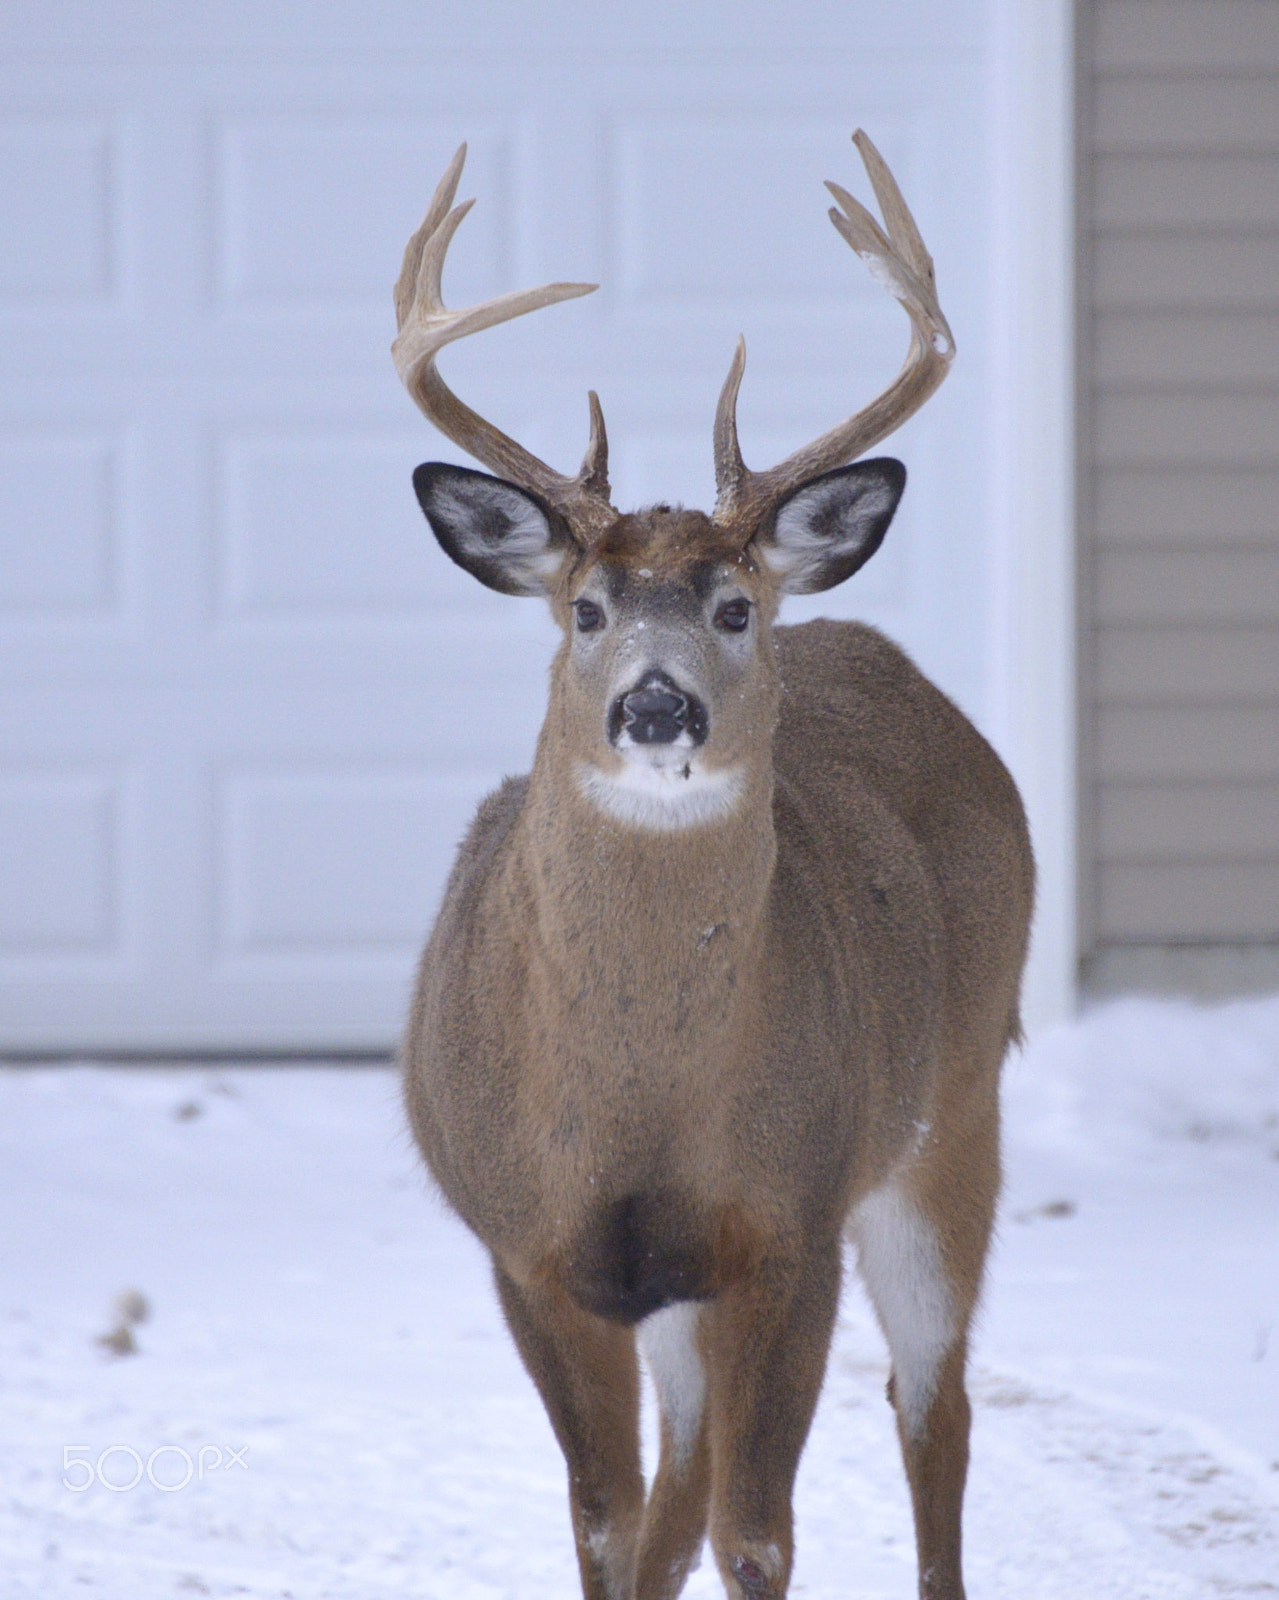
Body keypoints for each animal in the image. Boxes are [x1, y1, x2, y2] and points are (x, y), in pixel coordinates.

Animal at [393, 133, 1033, 1600]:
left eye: (735, 608)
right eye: (584, 610)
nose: (655, 706)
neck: (634, 1100)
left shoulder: (786, 1224)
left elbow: (755, 1530)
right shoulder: (532, 1251)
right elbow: (611, 1525)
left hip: (952, 1108)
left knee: (934, 1410)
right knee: (675, 1497)